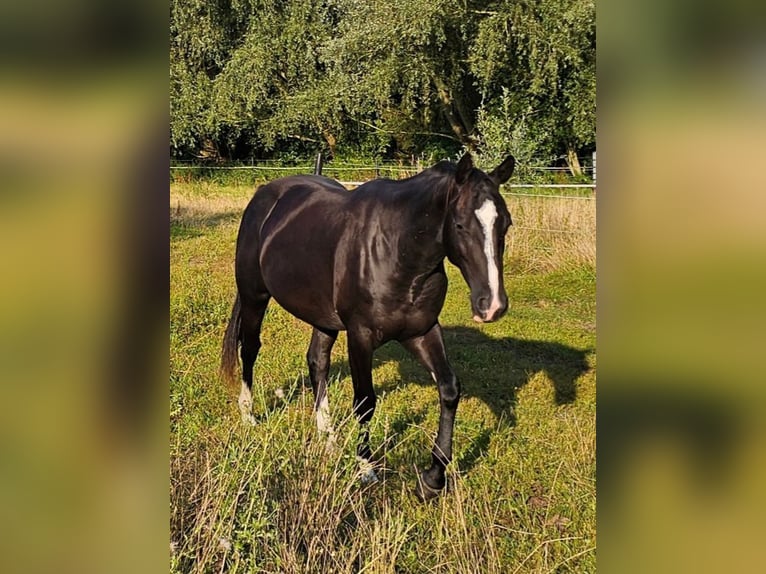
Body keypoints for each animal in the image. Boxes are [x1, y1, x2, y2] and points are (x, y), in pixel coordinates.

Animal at [220, 152, 515, 500]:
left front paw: (432, 478)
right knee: (250, 349)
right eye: (460, 224)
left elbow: (449, 389)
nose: (492, 305)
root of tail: (265, 195)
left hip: (323, 318)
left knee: (317, 362)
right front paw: (366, 468)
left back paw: (328, 438)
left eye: (505, 224)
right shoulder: (360, 337)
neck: (398, 251)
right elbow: (365, 402)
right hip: (254, 296)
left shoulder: (422, 331)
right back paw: (249, 415)